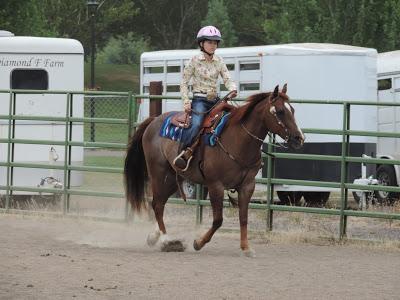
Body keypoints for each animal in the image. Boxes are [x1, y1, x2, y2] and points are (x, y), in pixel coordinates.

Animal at [125, 84, 304, 255]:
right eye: (280, 111)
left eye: (293, 110)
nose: (299, 138)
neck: (238, 140)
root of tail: (154, 120)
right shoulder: (215, 185)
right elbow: (218, 220)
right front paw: (198, 243)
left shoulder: (247, 186)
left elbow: (243, 217)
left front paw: (246, 247)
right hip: (159, 173)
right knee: (157, 204)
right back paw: (166, 240)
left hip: (174, 179)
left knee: (159, 203)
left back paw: (154, 237)